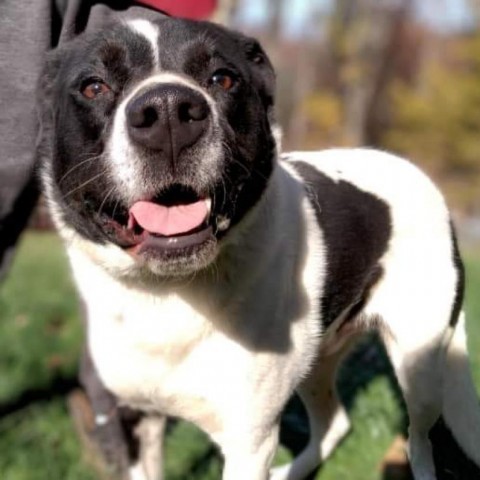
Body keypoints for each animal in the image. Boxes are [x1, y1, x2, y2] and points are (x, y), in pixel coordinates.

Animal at [35, 15, 480, 480]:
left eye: (223, 78)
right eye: (93, 86)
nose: (169, 113)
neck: (165, 294)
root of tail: (417, 172)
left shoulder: (249, 441)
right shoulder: (132, 418)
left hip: (420, 362)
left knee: (419, 437)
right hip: (317, 358)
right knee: (337, 422)